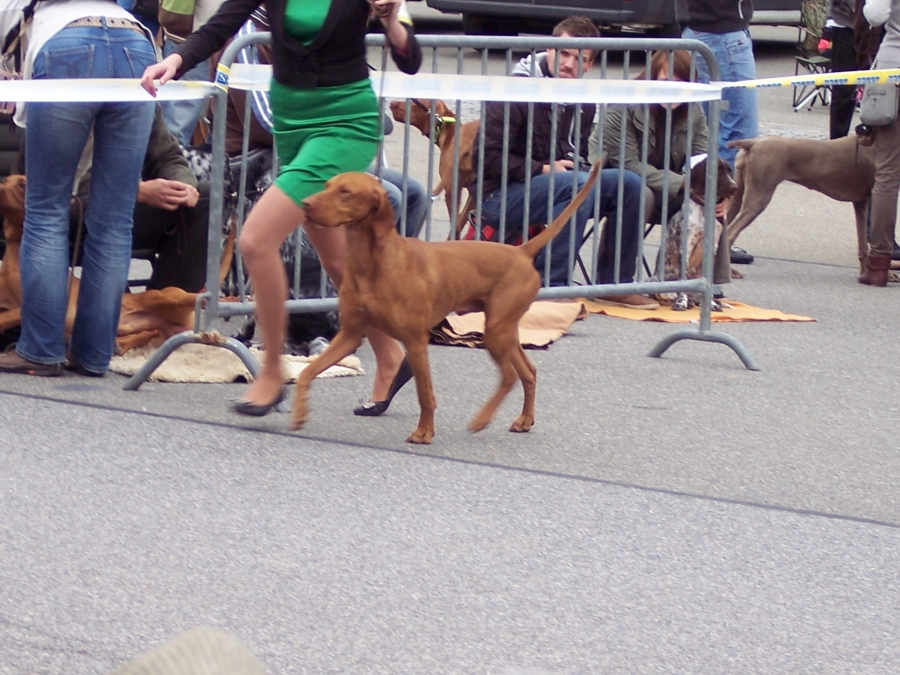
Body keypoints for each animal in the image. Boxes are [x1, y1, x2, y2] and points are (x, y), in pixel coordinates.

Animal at [291, 163, 600, 444]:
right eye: (327, 185)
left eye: (345, 191)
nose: (305, 204)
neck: (372, 263)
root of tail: (521, 251)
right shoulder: (350, 335)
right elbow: (307, 372)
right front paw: (299, 413)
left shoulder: (416, 341)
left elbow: (425, 395)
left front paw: (424, 432)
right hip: (504, 331)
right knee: (529, 372)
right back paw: (524, 420)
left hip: (496, 333)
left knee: (510, 377)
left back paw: (481, 420)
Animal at [657, 157, 737, 311]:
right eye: (718, 170)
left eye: (729, 171)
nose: (734, 187)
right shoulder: (686, 248)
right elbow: (683, 280)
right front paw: (681, 302)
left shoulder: (712, 250)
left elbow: (707, 283)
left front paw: (711, 303)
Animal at [725, 135, 876, 273]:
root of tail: (753, 142)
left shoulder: (861, 203)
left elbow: (863, 245)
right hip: (759, 196)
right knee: (730, 233)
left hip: (737, 194)